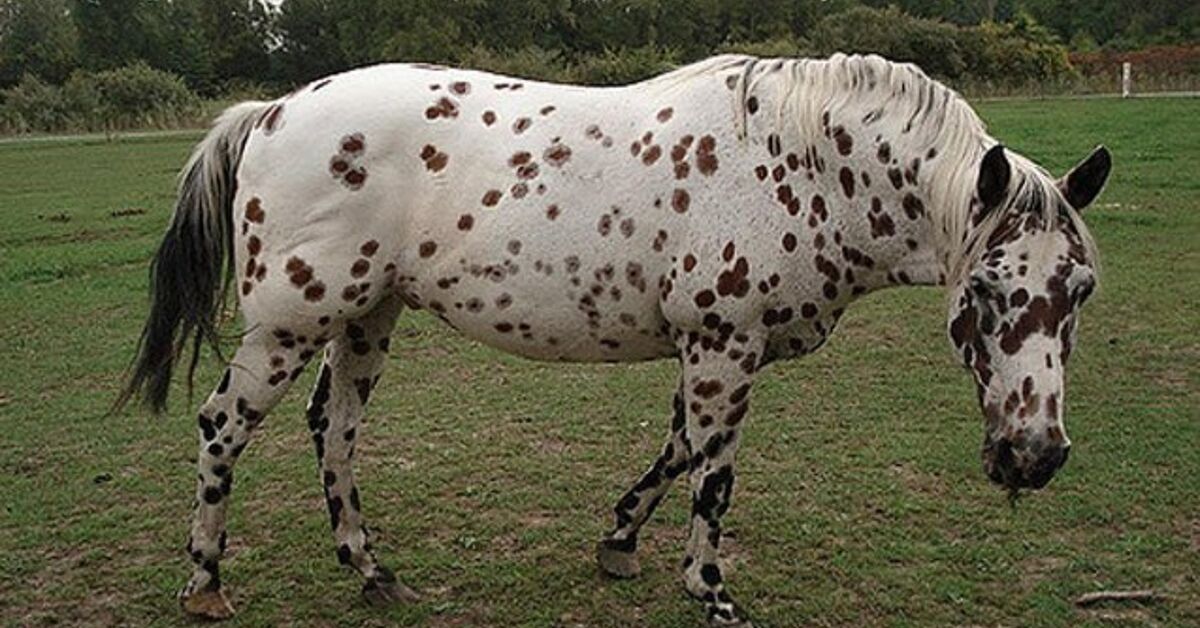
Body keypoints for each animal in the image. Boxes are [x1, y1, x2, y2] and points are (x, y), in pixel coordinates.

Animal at [116, 53, 1110, 626]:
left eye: (1080, 291)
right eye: (984, 289)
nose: (1034, 457)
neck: (802, 164)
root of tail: (272, 110)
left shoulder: (707, 350)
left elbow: (674, 451)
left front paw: (620, 542)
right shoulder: (724, 346)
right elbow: (713, 474)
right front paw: (709, 591)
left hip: (367, 316)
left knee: (336, 431)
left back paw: (370, 571)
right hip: (292, 322)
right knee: (223, 428)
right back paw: (205, 584)